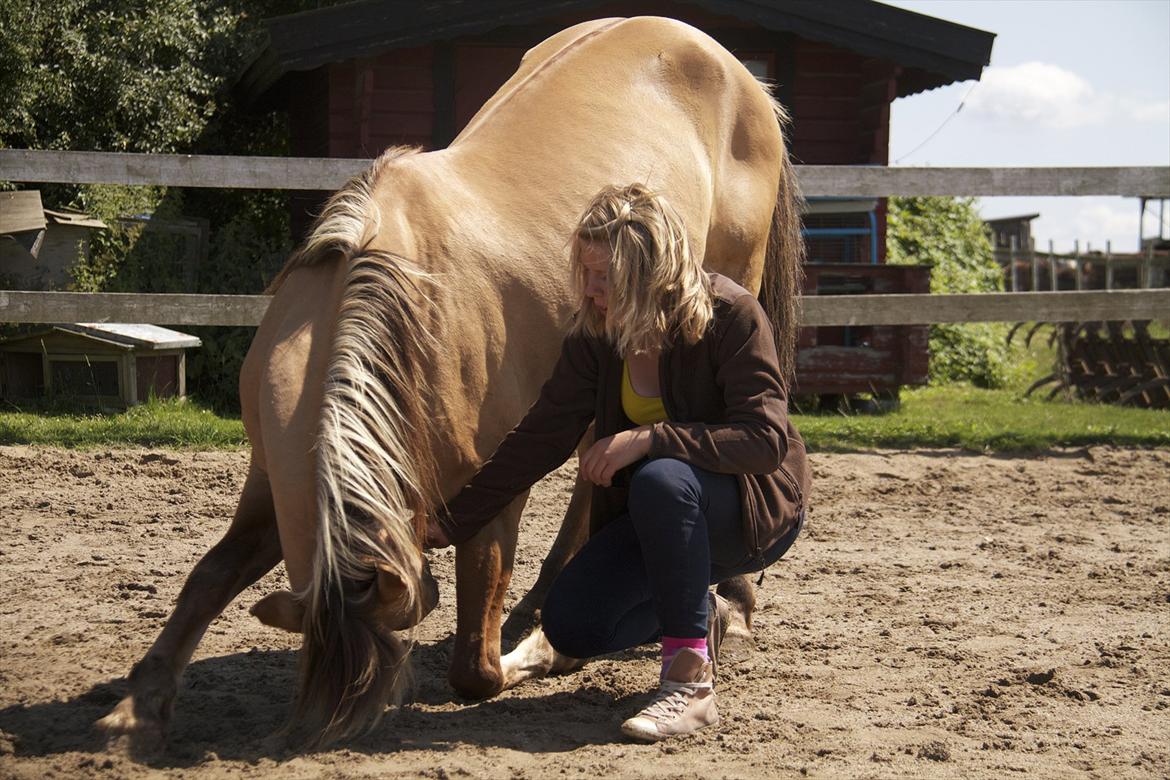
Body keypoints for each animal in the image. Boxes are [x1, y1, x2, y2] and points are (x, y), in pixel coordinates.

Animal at [95, 15, 804, 748]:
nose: (329, 730)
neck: (396, 296)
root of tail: (722, 59)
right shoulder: (270, 481)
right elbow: (211, 574)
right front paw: (140, 700)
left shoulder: (496, 490)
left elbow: (475, 667)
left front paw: (534, 658)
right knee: (601, 467)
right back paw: (542, 607)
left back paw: (718, 603)